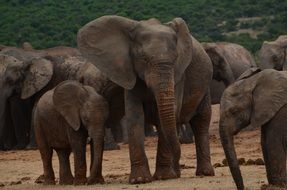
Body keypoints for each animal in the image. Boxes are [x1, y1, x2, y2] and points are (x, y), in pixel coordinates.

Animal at [77, 15, 215, 183]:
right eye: (143, 59)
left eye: (176, 58)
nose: (179, 166)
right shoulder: (130, 72)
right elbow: (135, 116)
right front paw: (140, 180)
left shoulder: (179, 75)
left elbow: (168, 115)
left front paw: (164, 177)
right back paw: (178, 173)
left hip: (206, 86)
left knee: (201, 121)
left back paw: (203, 173)